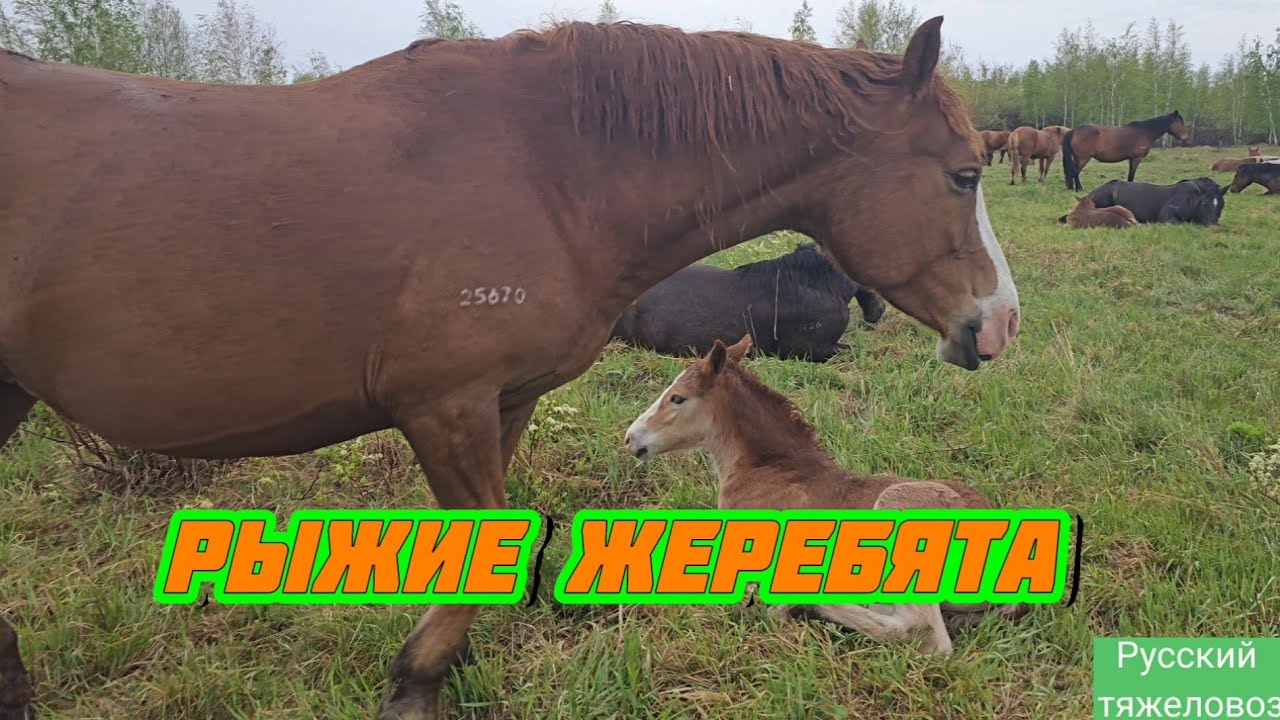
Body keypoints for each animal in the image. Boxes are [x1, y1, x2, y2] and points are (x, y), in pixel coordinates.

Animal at [1061, 111, 1191, 191]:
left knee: (1072, 172)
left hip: (1078, 158)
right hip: (1083, 158)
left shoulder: (1131, 159)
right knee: (1075, 172)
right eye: (1180, 123)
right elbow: (1131, 175)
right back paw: (1078, 189)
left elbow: (1130, 175)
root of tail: (1074, 131)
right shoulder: (1136, 158)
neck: (1144, 132)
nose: (1186, 138)